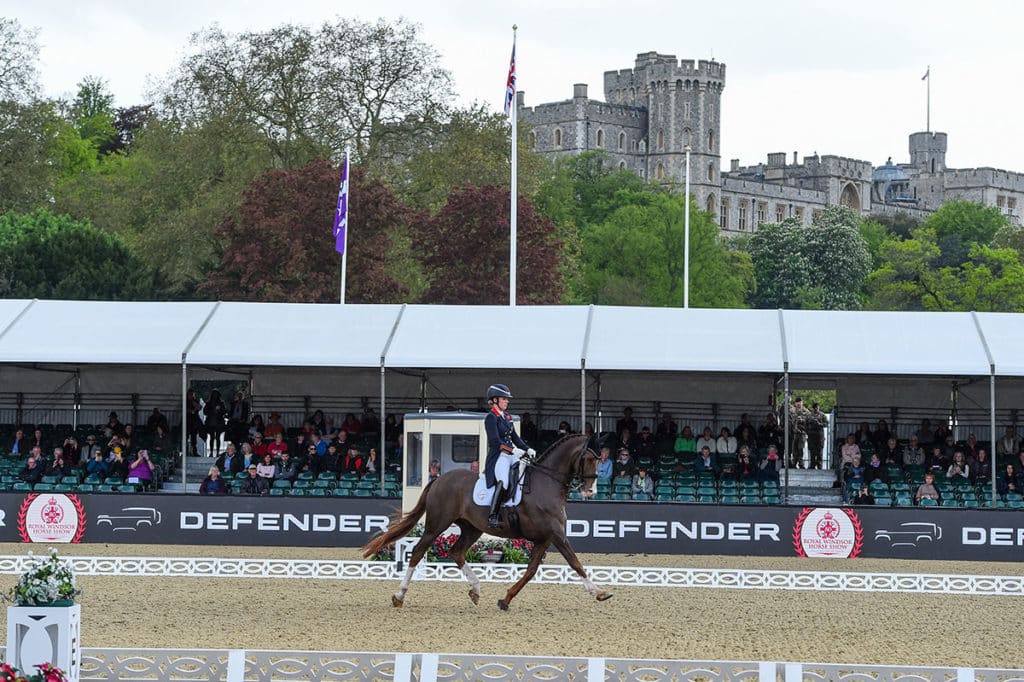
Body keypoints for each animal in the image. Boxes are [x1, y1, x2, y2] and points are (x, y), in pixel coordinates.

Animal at [364, 432, 610, 606]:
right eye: (589, 458)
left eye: (601, 460)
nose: (591, 490)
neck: (546, 483)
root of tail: (438, 479)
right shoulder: (556, 534)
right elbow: (575, 562)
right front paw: (599, 592)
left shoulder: (545, 538)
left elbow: (531, 570)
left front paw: (506, 599)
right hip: (437, 524)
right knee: (417, 552)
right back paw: (399, 595)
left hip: (472, 528)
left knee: (457, 552)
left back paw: (475, 590)